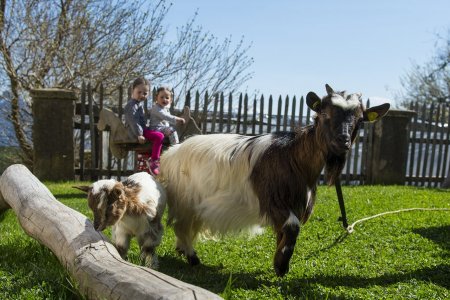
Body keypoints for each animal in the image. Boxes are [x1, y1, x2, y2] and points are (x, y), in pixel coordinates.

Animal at [159, 84, 390, 276]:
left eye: (360, 120)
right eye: (324, 112)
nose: (343, 141)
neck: (293, 158)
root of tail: (172, 152)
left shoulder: (295, 205)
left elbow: (283, 234)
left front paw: (279, 263)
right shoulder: (272, 201)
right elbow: (292, 228)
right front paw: (281, 265)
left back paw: (183, 250)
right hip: (184, 201)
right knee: (181, 226)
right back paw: (192, 257)